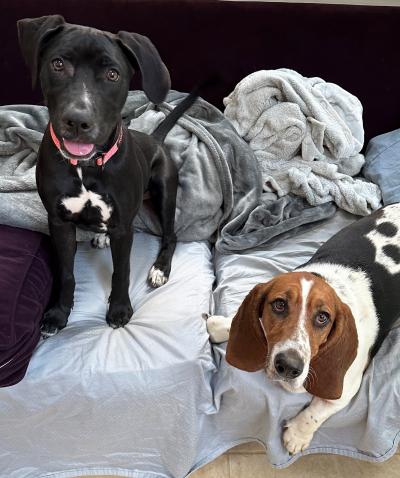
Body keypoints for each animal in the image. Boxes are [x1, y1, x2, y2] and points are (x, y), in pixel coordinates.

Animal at [18, 15, 196, 336]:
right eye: (58, 64)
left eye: (113, 74)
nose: (77, 121)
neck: (86, 166)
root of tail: (155, 139)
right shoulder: (59, 222)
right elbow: (67, 273)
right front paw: (59, 314)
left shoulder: (124, 228)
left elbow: (122, 271)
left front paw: (120, 309)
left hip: (165, 191)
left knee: (171, 235)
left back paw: (160, 269)